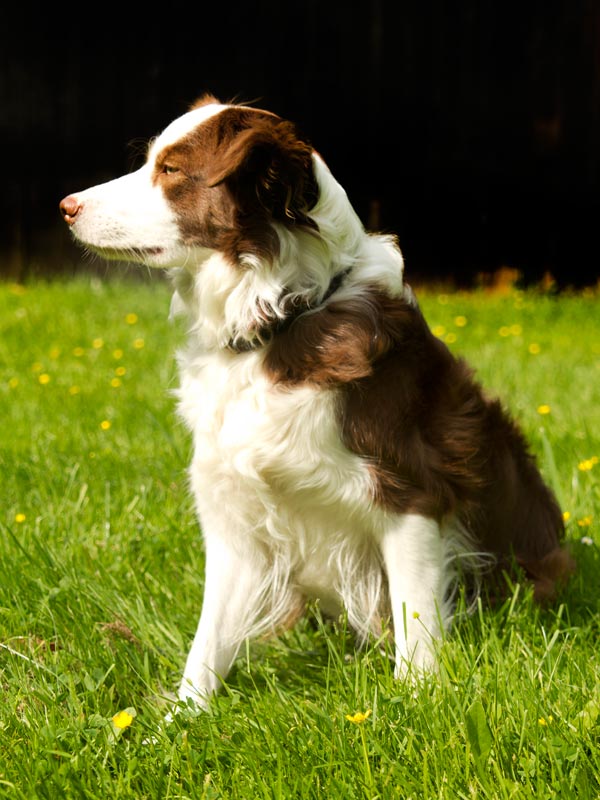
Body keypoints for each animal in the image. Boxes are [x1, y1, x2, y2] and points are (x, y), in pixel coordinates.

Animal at [59, 95, 572, 708]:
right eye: (150, 161)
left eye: (172, 171)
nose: (66, 206)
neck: (279, 316)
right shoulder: (235, 515)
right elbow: (207, 642)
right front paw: (181, 720)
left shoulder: (412, 493)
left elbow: (416, 626)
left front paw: (417, 705)